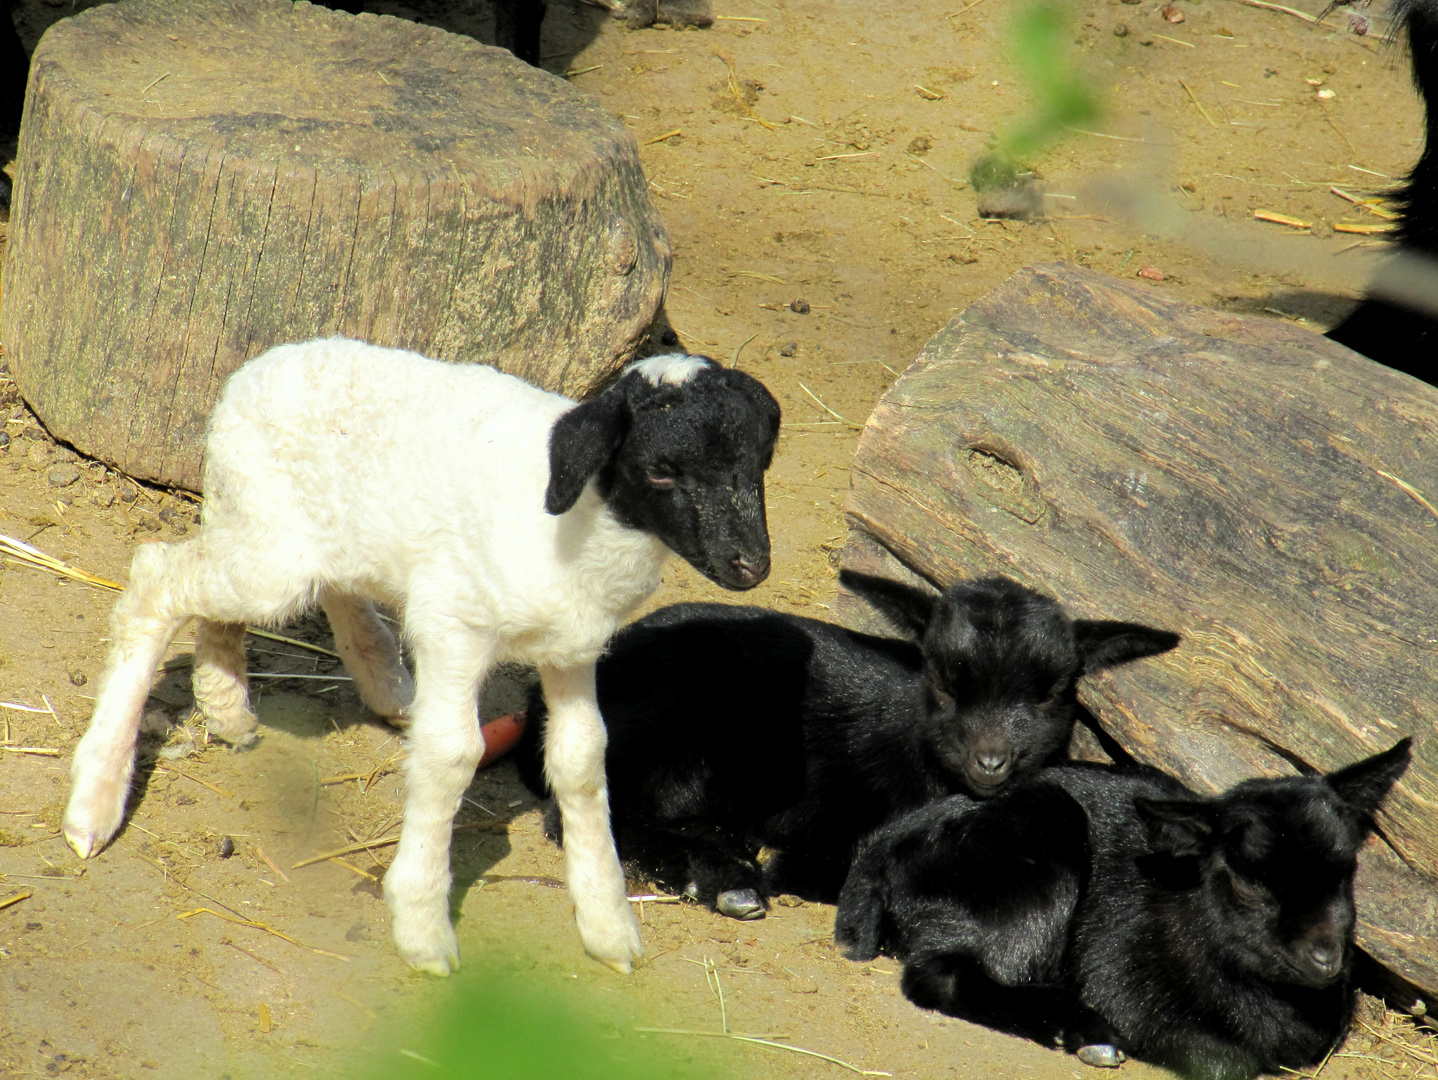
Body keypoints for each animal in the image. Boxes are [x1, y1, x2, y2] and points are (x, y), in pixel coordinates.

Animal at [61, 339, 782, 977]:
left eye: (758, 464)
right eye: (661, 469)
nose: (751, 566)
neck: (575, 521)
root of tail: (250, 373)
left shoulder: (571, 650)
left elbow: (581, 760)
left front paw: (608, 925)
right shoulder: (455, 622)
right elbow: (454, 753)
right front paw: (422, 925)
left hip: (276, 535)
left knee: (290, 595)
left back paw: (241, 707)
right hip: (273, 552)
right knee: (157, 580)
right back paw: (97, 798)